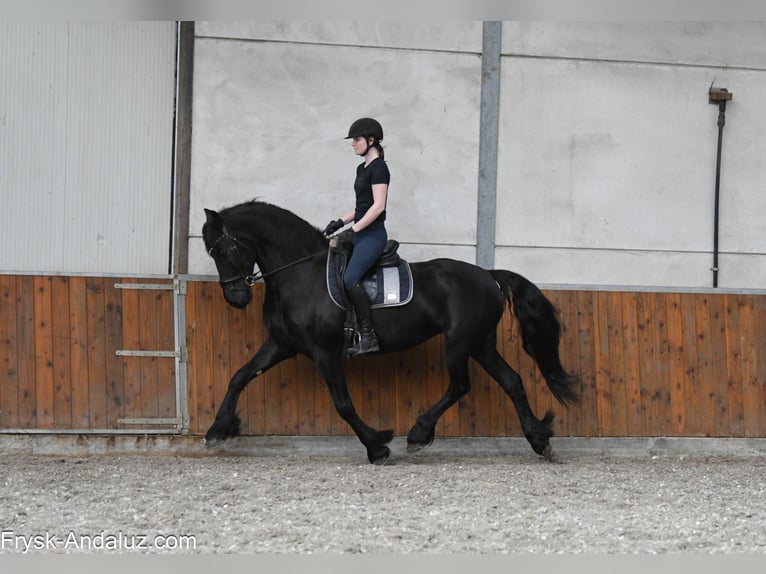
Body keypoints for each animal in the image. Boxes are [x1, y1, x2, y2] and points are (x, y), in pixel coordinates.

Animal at [202, 200, 580, 464]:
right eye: (212, 252)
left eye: (223, 249)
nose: (236, 298)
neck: (300, 273)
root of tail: (488, 274)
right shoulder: (281, 344)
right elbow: (239, 376)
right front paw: (217, 430)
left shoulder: (324, 353)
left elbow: (343, 404)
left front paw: (377, 446)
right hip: (480, 343)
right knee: (512, 381)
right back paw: (539, 440)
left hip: (459, 342)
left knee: (461, 385)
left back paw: (418, 434)